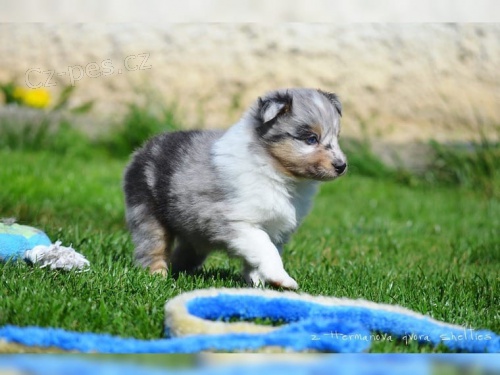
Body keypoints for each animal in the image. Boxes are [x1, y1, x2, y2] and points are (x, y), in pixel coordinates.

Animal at [123, 88, 346, 290]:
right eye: (311, 139)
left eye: (336, 137)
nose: (342, 166)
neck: (274, 171)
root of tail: (142, 149)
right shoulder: (236, 221)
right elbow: (266, 248)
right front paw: (282, 278)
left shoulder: (276, 229)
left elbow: (259, 257)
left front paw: (258, 283)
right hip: (147, 212)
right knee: (152, 248)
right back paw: (157, 277)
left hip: (193, 230)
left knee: (186, 253)